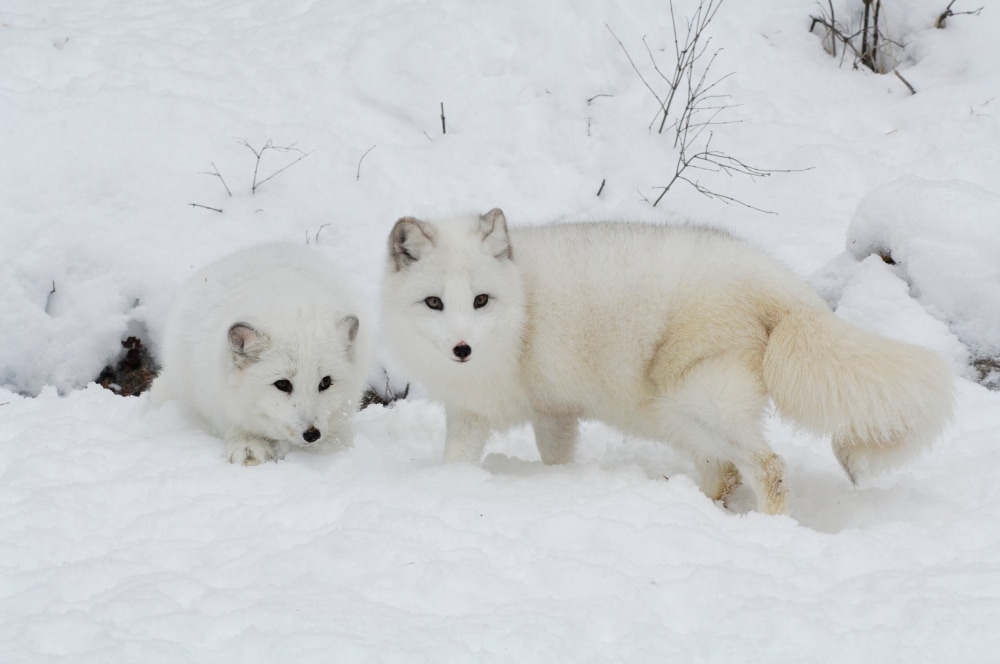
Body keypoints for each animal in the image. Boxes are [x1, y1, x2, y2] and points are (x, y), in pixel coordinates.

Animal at [380, 209, 954, 514]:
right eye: (434, 303)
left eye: (480, 300)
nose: (461, 349)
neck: (522, 308)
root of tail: (783, 284)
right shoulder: (469, 414)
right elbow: (456, 459)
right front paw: (449, 488)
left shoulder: (554, 411)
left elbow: (555, 461)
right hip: (678, 412)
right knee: (726, 469)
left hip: (697, 398)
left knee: (768, 467)